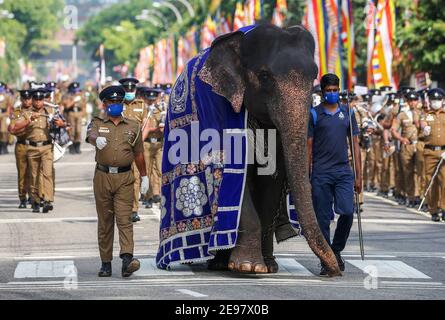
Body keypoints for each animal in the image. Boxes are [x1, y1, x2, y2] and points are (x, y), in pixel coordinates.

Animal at [158, 23, 342, 278]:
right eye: (264, 76)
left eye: (314, 75)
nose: (333, 271)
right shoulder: (217, 106)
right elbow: (231, 172)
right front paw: (248, 267)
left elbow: (272, 179)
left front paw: (268, 267)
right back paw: (218, 263)